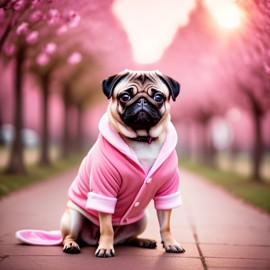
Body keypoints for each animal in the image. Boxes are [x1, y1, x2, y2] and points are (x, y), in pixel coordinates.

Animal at [59, 69, 185, 258]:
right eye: (125, 96)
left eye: (158, 97)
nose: (142, 101)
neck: (142, 140)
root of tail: (91, 239)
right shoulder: (104, 190)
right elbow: (107, 228)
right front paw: (105, 247)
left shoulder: (167, 190)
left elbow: (165, 225)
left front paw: (170, 243)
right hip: (73, 217)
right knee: (69, 236)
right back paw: (72, 245)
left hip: (141, 219)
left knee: (126, 239)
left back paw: (143, 241)